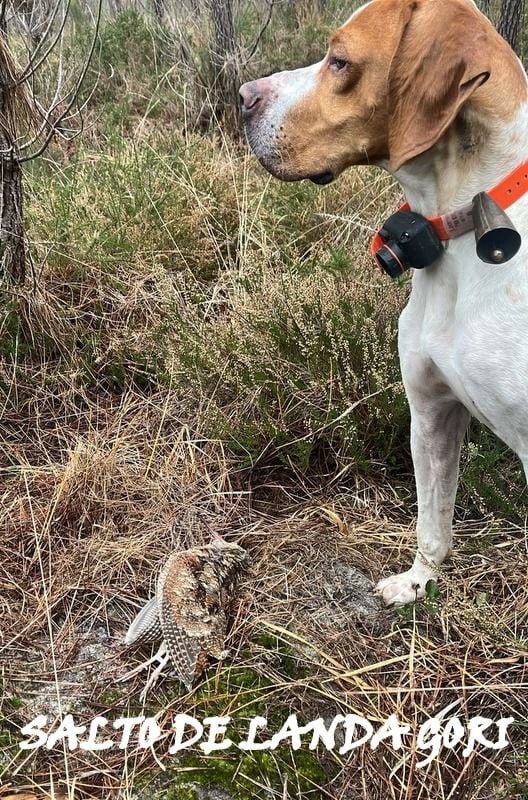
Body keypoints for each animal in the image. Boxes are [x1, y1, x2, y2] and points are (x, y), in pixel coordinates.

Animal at [240, 0, 528, 604]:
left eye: (340, 61)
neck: (459, 231)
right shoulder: (431, 411)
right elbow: (432, 523)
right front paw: (419, 583)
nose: (243, 95)